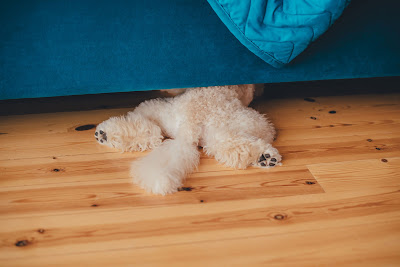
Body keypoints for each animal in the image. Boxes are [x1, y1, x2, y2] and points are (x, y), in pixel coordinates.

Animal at [95, 85, 282, 196]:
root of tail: (189, 128)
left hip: (157, 110)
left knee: (153, 132)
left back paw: (106, 134)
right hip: (251, 124)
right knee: (234, 145)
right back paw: (265, 157)